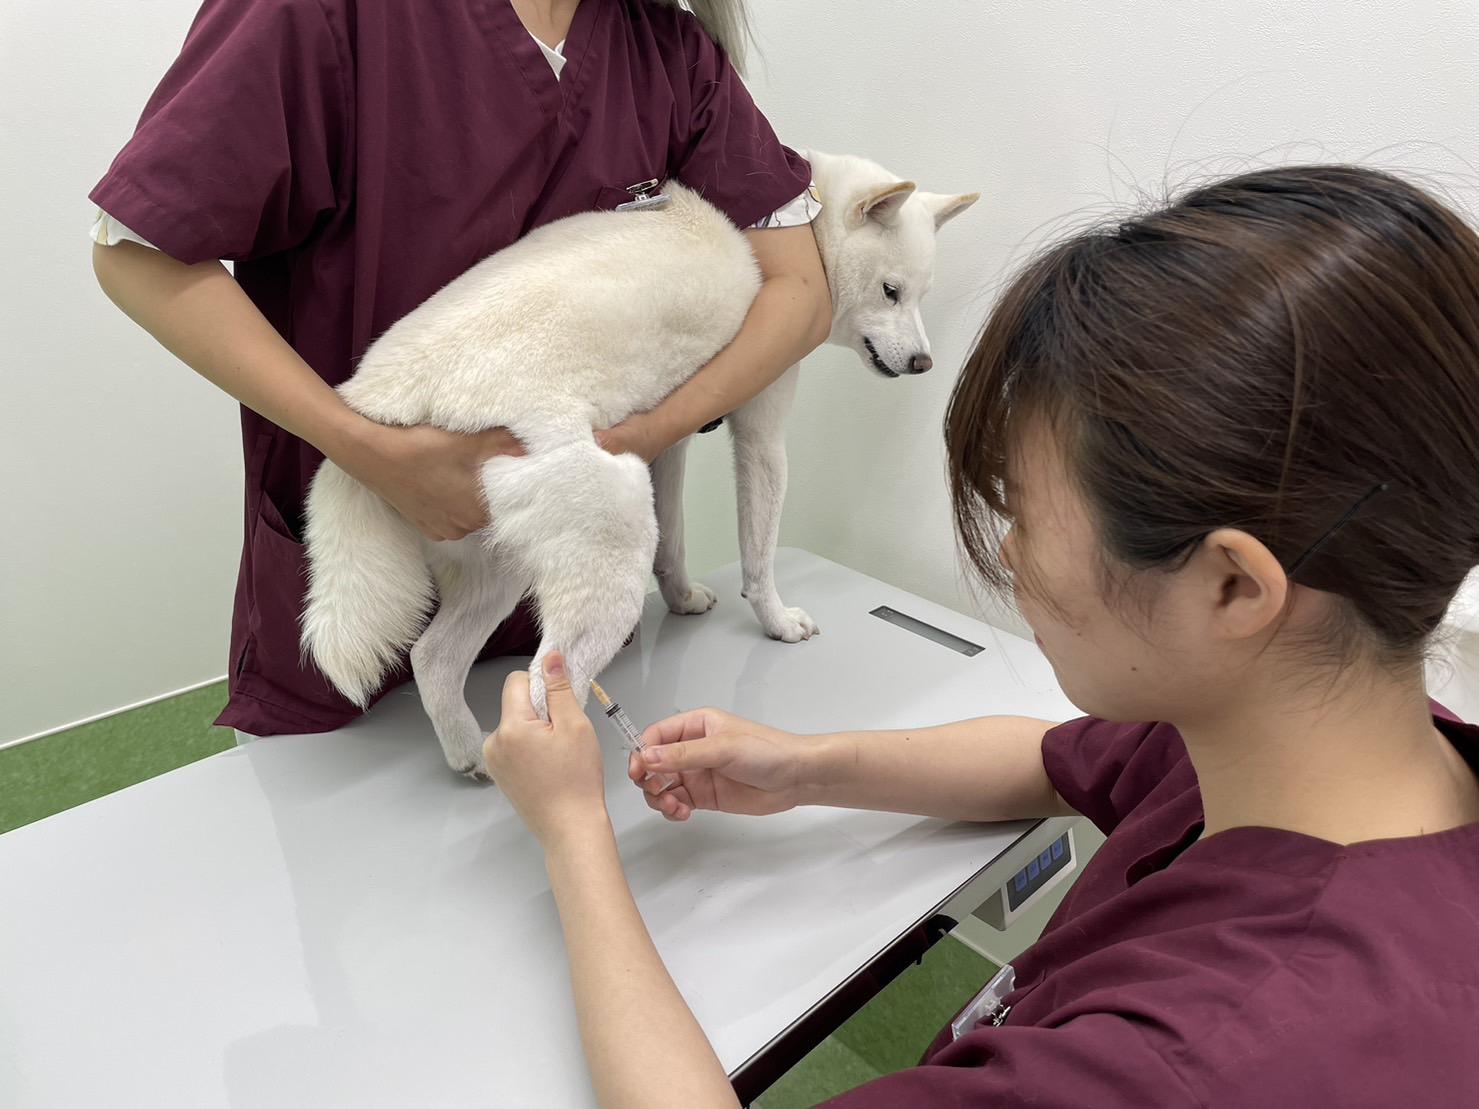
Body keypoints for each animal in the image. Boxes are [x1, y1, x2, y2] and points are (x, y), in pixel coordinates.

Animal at [298, 152, 970, 774]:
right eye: (890, 291)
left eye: (922, 296)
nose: (923, 363)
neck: (799, 239)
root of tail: (381, 399)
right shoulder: (761, 432)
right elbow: (759, 556)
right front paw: (777, 621)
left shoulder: (668, 442)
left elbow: (674, 544)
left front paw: (682, 598)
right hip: (608, 550)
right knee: (539, 693)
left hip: (498, 568)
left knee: (432, 660)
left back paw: (473, 758)